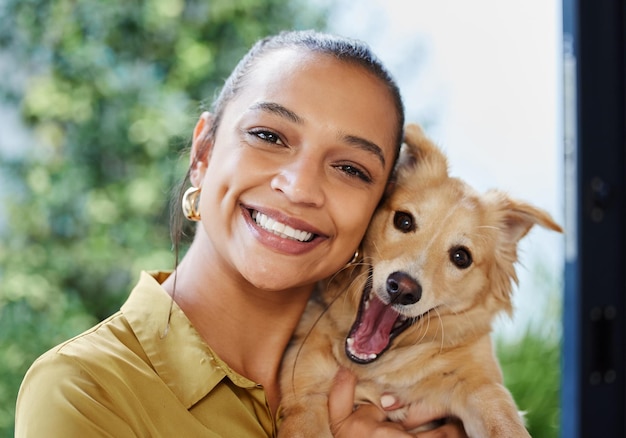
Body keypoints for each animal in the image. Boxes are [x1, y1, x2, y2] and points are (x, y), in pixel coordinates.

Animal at [278, 123, 560, 438]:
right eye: (404, 221)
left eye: (461, 257)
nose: (402, 289)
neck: (378, 368)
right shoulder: (304, 395)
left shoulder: (481, 385)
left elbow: (502, 418)